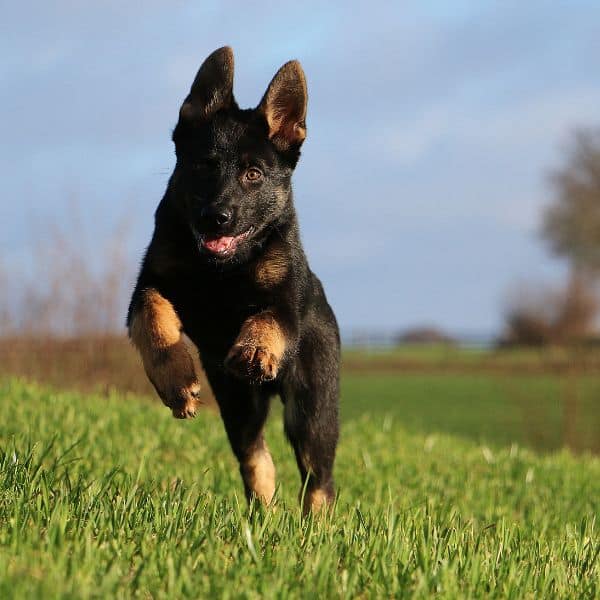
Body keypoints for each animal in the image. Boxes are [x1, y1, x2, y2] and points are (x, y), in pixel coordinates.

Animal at [127, 47, 340, 510]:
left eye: (253, 174)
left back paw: (317, 521)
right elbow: (153, 320)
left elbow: (267, 319)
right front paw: (175, 381)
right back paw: (262, 506)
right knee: (255, 454)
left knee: (319, 478)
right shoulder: (148, 285)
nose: (216, 217)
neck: (222, 271)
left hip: (312, 408)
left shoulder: (284, 302)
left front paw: (255, 349)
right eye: (204, 166)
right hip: (238, 403)